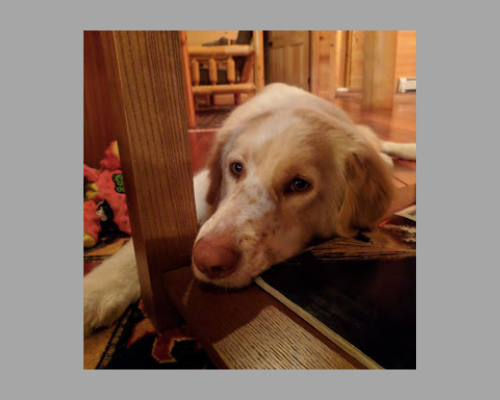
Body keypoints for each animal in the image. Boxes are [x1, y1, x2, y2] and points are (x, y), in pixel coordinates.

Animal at [84, 83, 416, 338]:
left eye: (299, 184)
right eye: (236, 168)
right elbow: (130, 255)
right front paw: (95, 292)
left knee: (379, 143)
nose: (207, 260)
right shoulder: (200, 188)